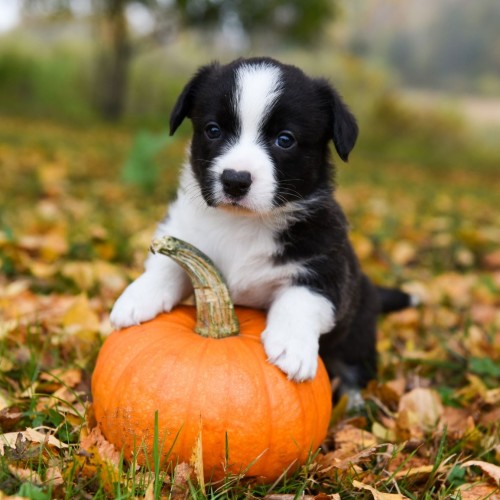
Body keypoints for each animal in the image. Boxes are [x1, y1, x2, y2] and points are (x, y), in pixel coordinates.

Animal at [110, 57, 414, 394]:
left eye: (285, 139)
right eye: (213, 130)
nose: (235, 180)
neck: (242, 224)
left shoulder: (326, 265)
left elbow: (301, 299)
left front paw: (292, 347)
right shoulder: (182, 229)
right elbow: (170, 264)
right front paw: (137, 297)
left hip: (357, 332)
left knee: (354, 370)